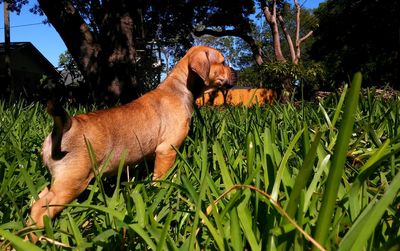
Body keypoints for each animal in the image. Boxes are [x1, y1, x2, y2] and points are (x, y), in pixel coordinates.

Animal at [29, 45, 236, 241]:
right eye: (223, 62)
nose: (236, 73)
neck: (180, 87)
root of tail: (65, 126)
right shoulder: (166, 150)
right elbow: (161, 179)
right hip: (72, 183)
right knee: (40, 209)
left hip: (60, 179)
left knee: (38, 198)